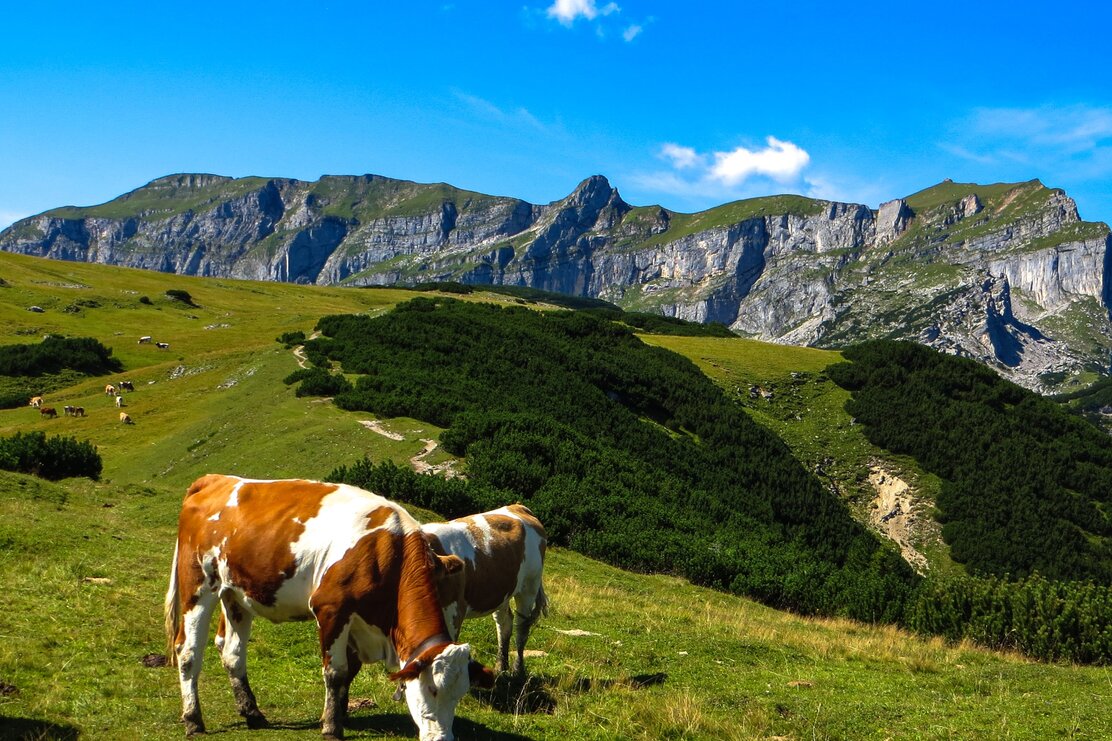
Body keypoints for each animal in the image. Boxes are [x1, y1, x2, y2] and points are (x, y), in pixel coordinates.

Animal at [164, 475, 494, 740]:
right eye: (432, 689)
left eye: (460, 694)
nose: (443, 739)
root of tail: (215, 479)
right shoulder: (332, 608)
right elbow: (336, 672)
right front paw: (332, 728)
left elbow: (350, 671)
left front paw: (337, 714)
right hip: (199, 584)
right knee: (188, 651)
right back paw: (193, 719)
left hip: (236, 594)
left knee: (232, 652)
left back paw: (252, 713)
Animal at [422, 504, 548, 678]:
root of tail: (518, 506)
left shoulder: (453, 613)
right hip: (503, 591)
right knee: (505, 623)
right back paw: (501, 666)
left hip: (529, 586)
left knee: (521, 628)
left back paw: (518, 669)